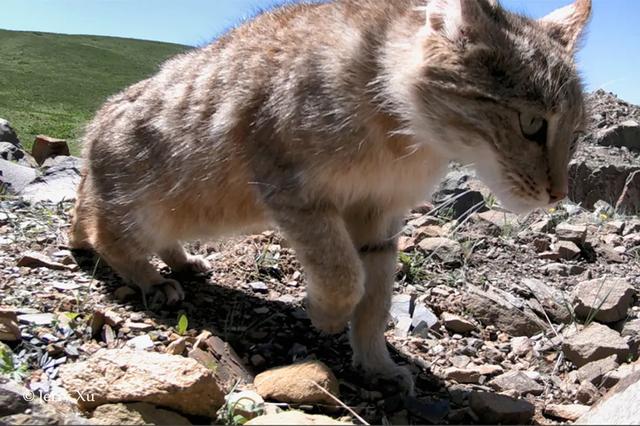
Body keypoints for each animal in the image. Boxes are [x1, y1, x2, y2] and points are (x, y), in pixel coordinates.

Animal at [69, 0, 592, 392]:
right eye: (532, 123)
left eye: (575, 134)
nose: (558, 194)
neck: (405, 135)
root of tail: (93, 130)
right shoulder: (293, 191)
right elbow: (343, 275)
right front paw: (323, 314)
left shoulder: (382, 217)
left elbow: (376, 300)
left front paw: (377, 365)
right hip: (140, 206)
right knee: (105, 236)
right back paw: (151, 279)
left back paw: (181, 262)